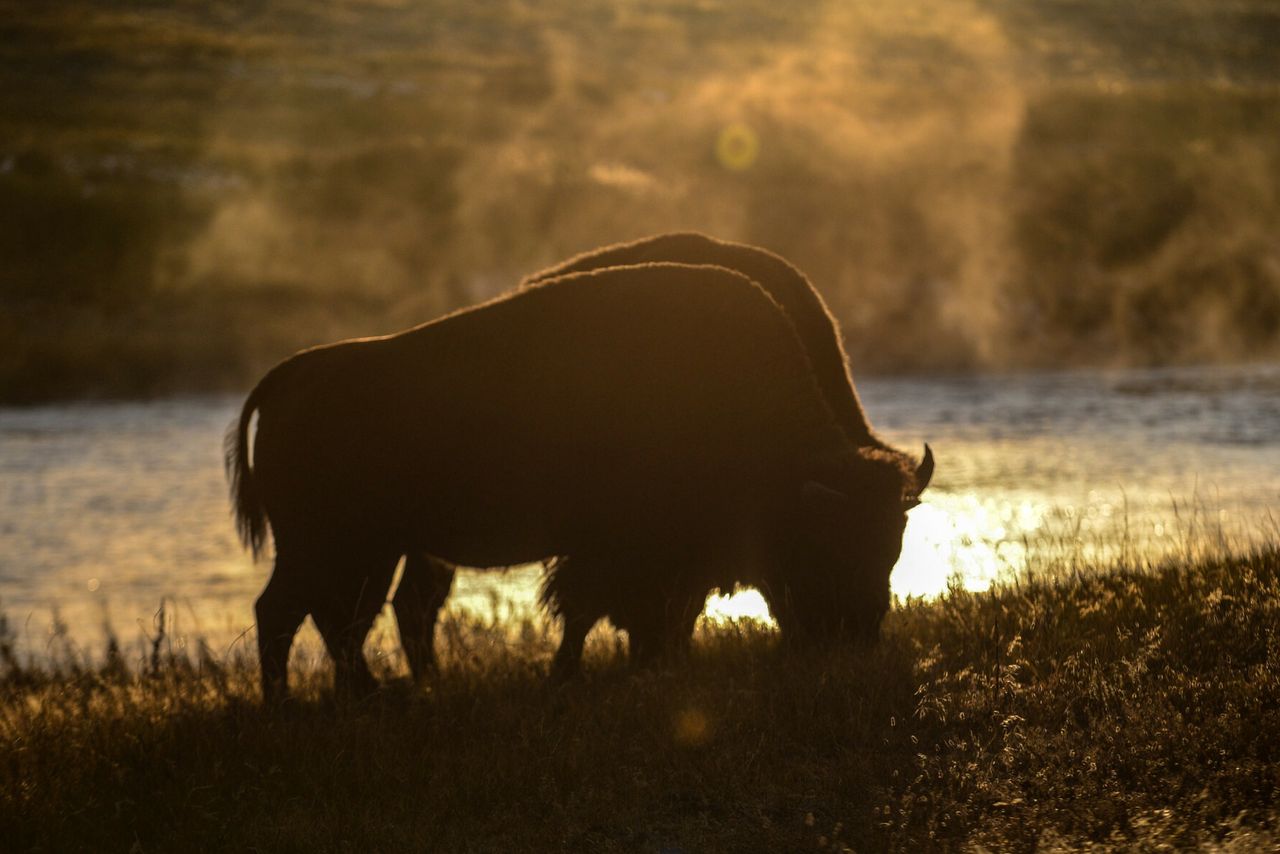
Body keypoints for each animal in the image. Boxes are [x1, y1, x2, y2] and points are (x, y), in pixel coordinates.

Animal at [227, 262, 931, 701]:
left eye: (892, 550)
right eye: (828, 546)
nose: (854, 638)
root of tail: (291, 376)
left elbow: (637, 615)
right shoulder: (612, 552)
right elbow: (591, 610)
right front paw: (573, 677)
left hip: (369, 550)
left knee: (330, 618)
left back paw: (364, 697)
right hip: (332, 547)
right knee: (294, 614)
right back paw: (295, 704)